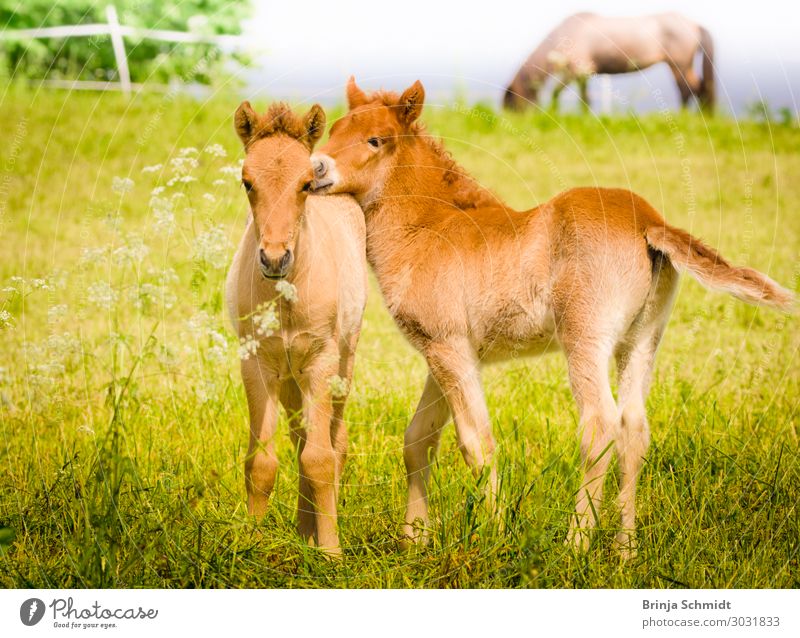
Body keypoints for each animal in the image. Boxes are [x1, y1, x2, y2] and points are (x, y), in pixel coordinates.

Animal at [225, 101, 368, 556]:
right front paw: (250, 546)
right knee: (301, 438)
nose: (274, 258)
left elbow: (321, 458)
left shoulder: (321, 362)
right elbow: (262, 461)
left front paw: (332, 552)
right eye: (246, 181)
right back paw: (305, 530)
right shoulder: (256, 363)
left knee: (334, 441)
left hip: (342, 363)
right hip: (289, 376)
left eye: (305, 184)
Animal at [310, 77, 792, 556]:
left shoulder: (448, 347)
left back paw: (575, 545)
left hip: (585, 337)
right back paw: (625, 551)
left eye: (375, 140)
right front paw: (415, 538)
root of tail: (648, 222)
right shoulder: (443, 353)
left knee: (600, 426)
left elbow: (476, 442)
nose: (315, 168)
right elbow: (419, 439)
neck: (430, 226)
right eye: (334, 129)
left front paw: (493, 537)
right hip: (641, 341)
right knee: (634, 430)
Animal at [504, 12, 716, 112]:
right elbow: (585, 98)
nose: (514, 118)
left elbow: (558, 93)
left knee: (689, 89)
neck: (566, 34)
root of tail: (694, 24)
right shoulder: (583, 74)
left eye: (511, 103)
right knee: (699, 87)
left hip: (679, 64)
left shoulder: (577, 70)